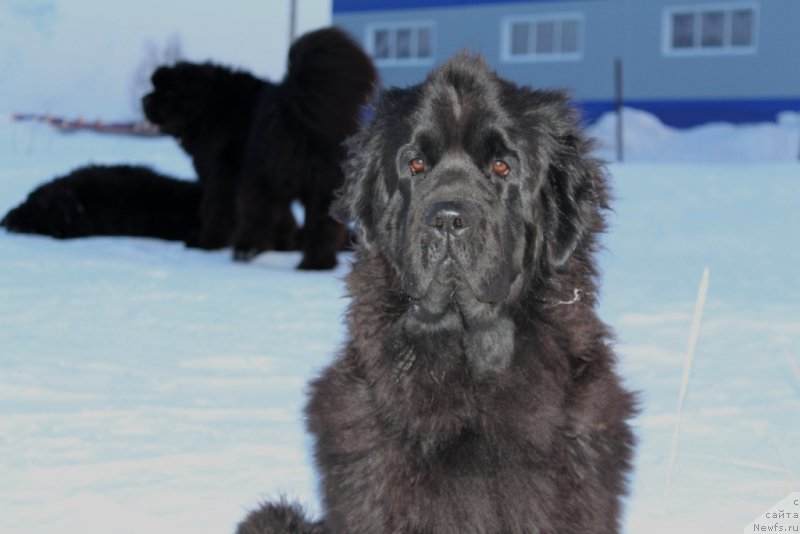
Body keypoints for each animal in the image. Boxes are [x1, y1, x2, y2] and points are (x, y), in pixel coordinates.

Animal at [143, 26, 376, 268]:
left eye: (166, 93)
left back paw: (245, 251)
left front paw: (205, 242)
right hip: (324, 186)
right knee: (323, 225)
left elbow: (215, 209)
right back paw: (316, 263)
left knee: (256, 214)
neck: (208, 107)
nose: (145, 100)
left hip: (262, 177)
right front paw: (284, 243)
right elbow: (285, 217)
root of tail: (294, 108)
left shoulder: (222, 176)